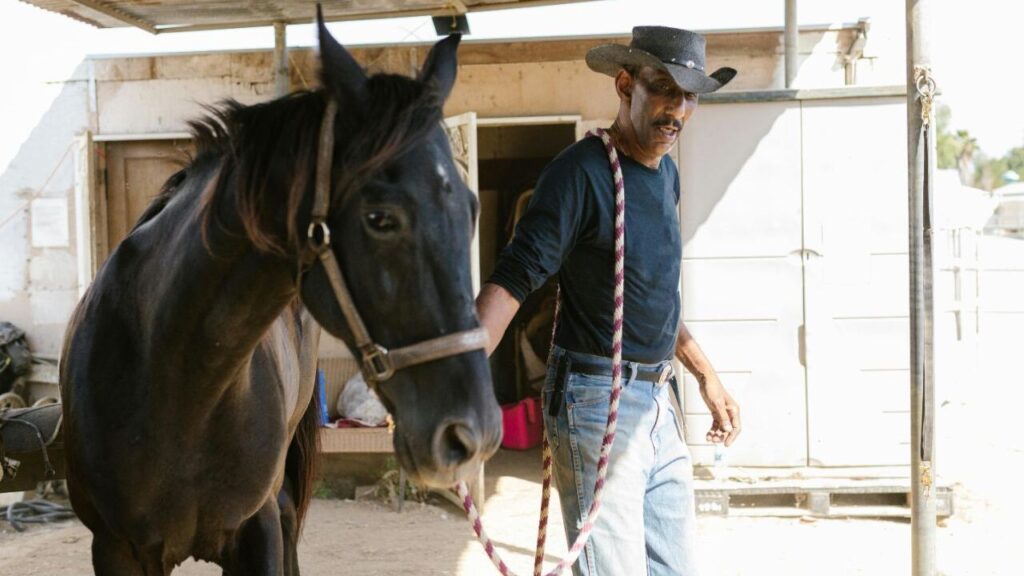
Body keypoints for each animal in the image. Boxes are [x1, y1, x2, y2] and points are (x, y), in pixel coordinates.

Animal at [59, 13, 501, 575]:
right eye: (380, 217)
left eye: (471, 208)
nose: (474, 434)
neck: (174, 384)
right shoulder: (115, 547)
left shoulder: (258, 527)